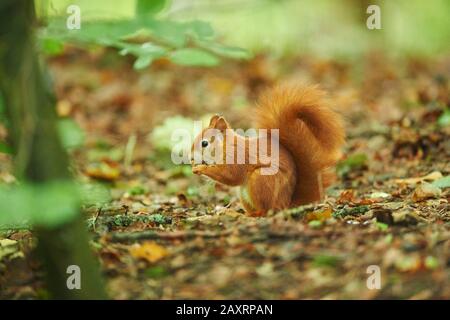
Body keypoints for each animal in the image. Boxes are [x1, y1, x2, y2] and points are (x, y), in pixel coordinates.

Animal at [190, 85, 344, 215]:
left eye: (204, 143)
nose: (190, 158)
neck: (226, 146)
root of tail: (286, 203)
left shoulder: (238, 156)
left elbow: (230, 175)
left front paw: (200, 169)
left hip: (260, 180)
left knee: (266, 210)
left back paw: (252, 214)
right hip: (244, 194)